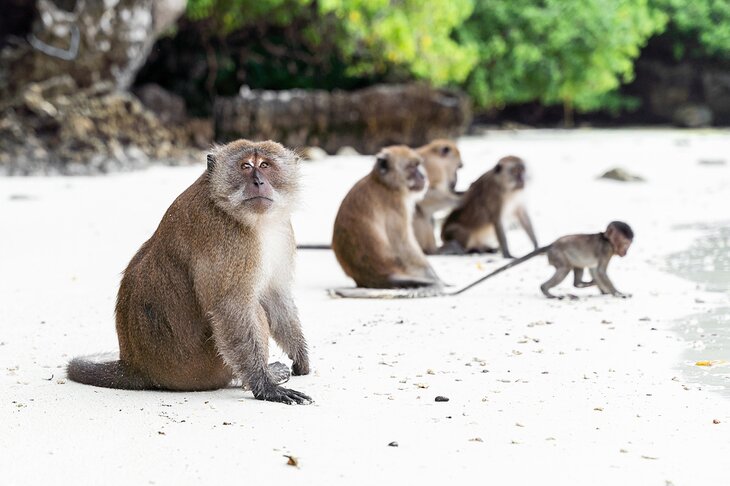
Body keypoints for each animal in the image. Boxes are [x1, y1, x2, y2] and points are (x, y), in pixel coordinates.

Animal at [69, 140, 314, 402]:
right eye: (246, 166)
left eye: (265, 165)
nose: (258, 182)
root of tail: (135, 366)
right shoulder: (227, 238)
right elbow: (230, 307)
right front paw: (265, 385)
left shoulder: (282, 229)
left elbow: (275, 293)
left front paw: (300, 357)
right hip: (198, 367)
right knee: (250, 311)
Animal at [328, 144, 438, 288]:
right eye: (411, 167)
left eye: (418, 165)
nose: (423, 176)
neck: (386, 184)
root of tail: (380, 275)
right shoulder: (397, 206)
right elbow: (402, 245)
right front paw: (435, 277)